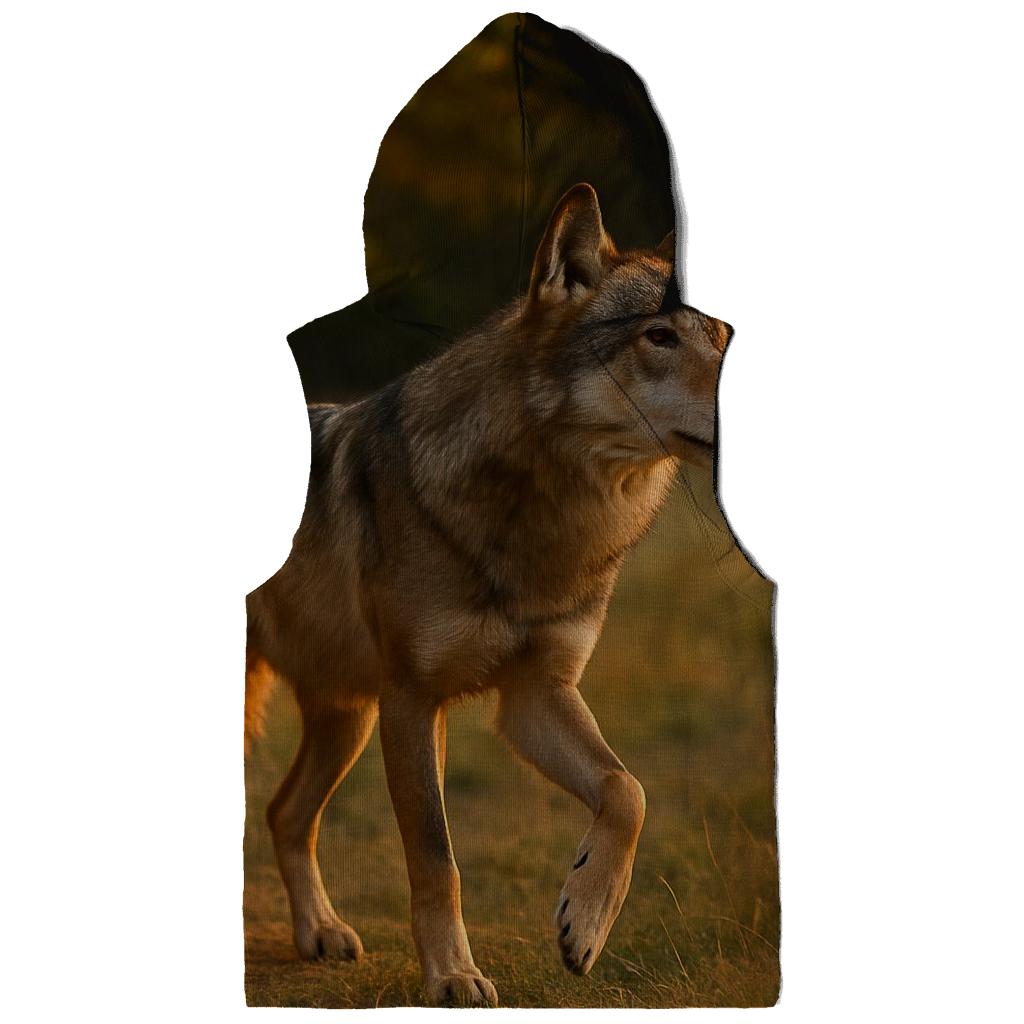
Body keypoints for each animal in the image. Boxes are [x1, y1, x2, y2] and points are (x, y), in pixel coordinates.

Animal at [245, 183, 732, 1006]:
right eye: (660, 337)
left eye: (723, 334)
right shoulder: (414, 702)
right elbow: (437, 861)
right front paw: (453, 975)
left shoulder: (533, 694)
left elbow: (628, 792)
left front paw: (584, 925)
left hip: (345, 717)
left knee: (284, 814)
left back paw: (321, 933)